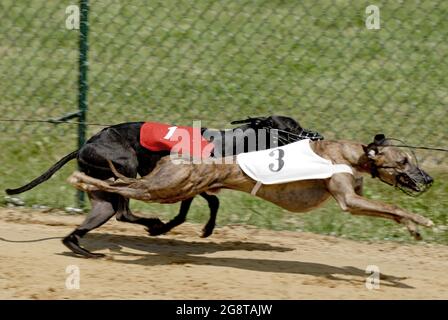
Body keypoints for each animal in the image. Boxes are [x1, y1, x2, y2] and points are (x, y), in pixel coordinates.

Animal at [6, 115, 322, 258]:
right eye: (292, 127)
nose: (315, 135)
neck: (234, 142)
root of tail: (83, 146)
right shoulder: (190, 182)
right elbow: (198, 207)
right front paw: (168, 229)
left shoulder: (197, 185)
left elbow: (210, 203)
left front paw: (203, 229)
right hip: (126, 166)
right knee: (123, 210)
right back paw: (152, 223)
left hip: (101, 197)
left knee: (97, 218)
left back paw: (83, 249)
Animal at [69, 133, 434, 258]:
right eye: (404, 161)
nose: (428, 179)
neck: (351, 154)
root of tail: (174, 156)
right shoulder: (348, 200)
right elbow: (391, 205)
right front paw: (421, 220)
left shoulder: (354, 199)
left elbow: (389, 210)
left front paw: (413, 227)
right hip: (163, 188)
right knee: (120, 188)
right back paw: (81, 180)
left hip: (171, 187)